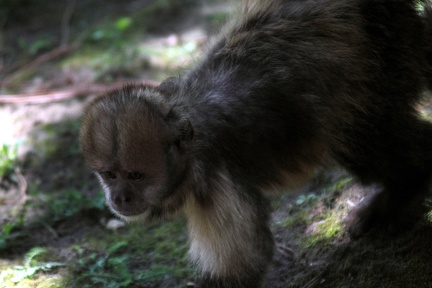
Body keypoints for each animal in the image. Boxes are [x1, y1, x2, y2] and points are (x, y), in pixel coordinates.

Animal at [79, 1, 432, 286]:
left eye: (135, 176)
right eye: (109, 175)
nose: (120, 197)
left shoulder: (219, 184)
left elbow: (240, 271)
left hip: (386, 55)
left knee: (360, 138)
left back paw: (406, 188)